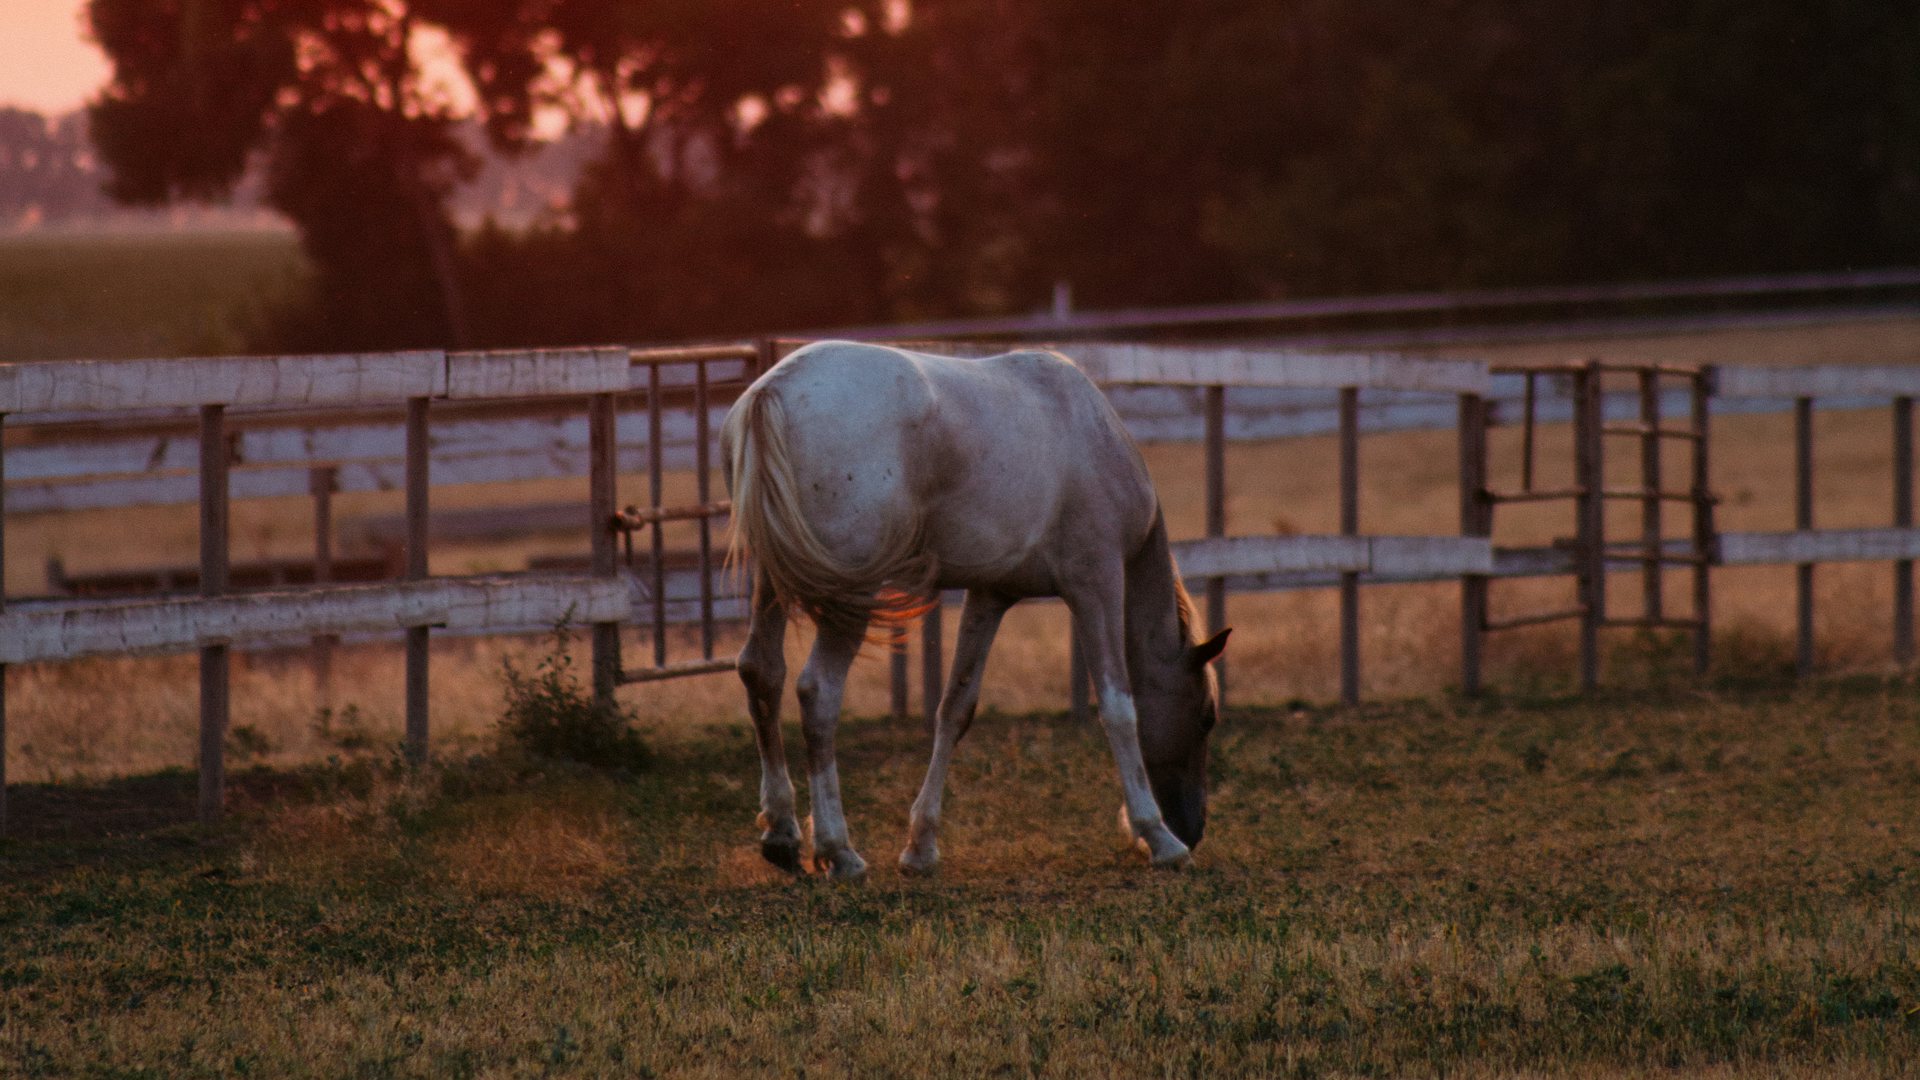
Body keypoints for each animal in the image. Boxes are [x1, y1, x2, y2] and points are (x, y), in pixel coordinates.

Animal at [720, 340, 1229, 879]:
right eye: (1206, 718)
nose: (1192, 828)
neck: (1091, 433)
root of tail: (773, 390)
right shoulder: (1097, 585)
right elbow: (1118, 708)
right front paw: (1158, 836)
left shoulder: (989, 596)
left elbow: (955, 709)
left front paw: (921, 847)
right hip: (848, 599)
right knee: (818, 692)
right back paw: (839, 850)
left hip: (771, 582)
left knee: (761, 672)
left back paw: (781, 833)